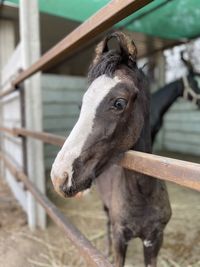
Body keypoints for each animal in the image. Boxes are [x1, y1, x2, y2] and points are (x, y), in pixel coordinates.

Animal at [50, 31, 171, 267]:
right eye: (81, 105)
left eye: (119, 103)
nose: (60, 177)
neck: (143, 195)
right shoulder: (120, 237)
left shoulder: (155, 239)